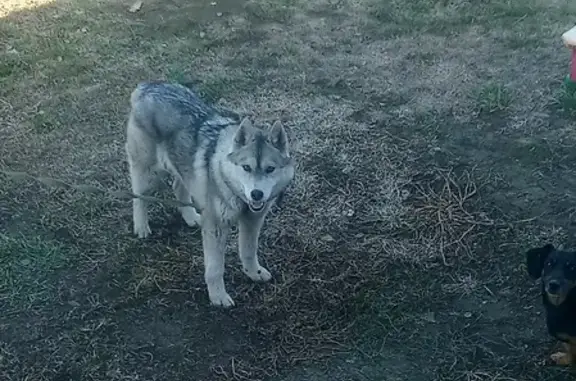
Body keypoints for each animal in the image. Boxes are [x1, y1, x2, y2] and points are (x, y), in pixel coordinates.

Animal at [127, 81, 294, 308]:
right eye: (246, 167)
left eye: (270, 169)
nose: (257, 194)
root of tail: (147, 86)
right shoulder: (216, 228)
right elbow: (215, 269)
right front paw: (218, 297)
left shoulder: (253, 220)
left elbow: (249, 251)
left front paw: (254, 273)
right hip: (148, 172)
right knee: (139, 198)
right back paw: (142, 226)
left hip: (181, 168)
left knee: (179, 187)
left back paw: (190, 218)